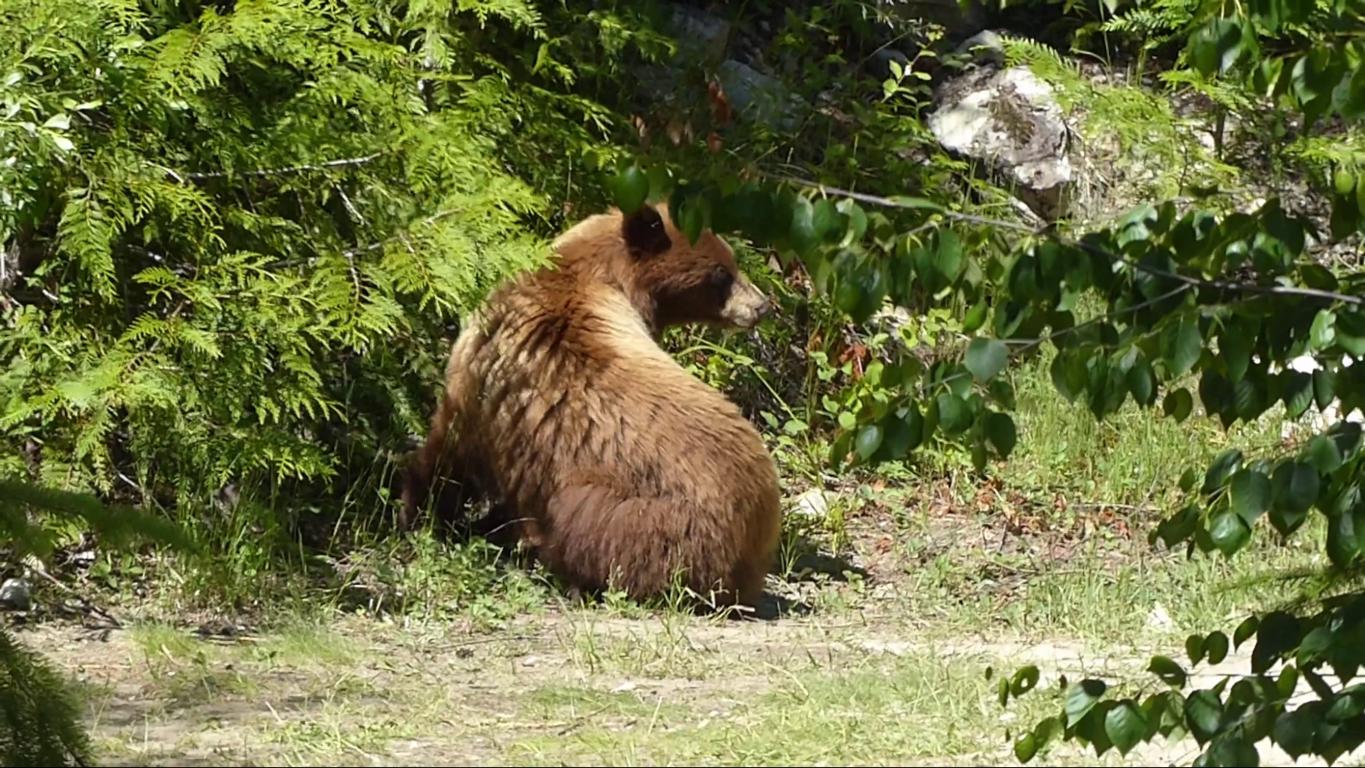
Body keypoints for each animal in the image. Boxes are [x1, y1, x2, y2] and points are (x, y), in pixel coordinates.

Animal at [401, 201, 782, 609]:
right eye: (722, 273)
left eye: (728, 264)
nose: (761, 305)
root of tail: (755, 539)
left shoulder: (485, 382)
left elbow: (453, 447)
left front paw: (423, 511)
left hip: (636, 516)